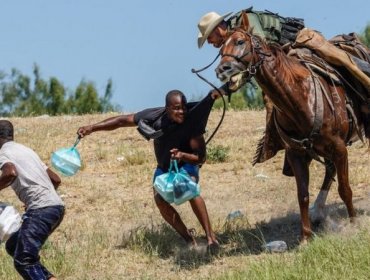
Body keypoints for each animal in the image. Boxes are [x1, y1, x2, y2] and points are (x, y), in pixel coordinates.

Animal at [215, 23, 366, 243]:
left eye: (240, 41)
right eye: (220, 49)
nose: (222, 70)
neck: (299, 98)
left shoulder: (339, 148)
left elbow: (345, 189)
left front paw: (354, 224)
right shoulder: (296, 154)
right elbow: (302, 195)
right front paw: (305, 237)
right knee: (329, 170)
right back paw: (318, 212)